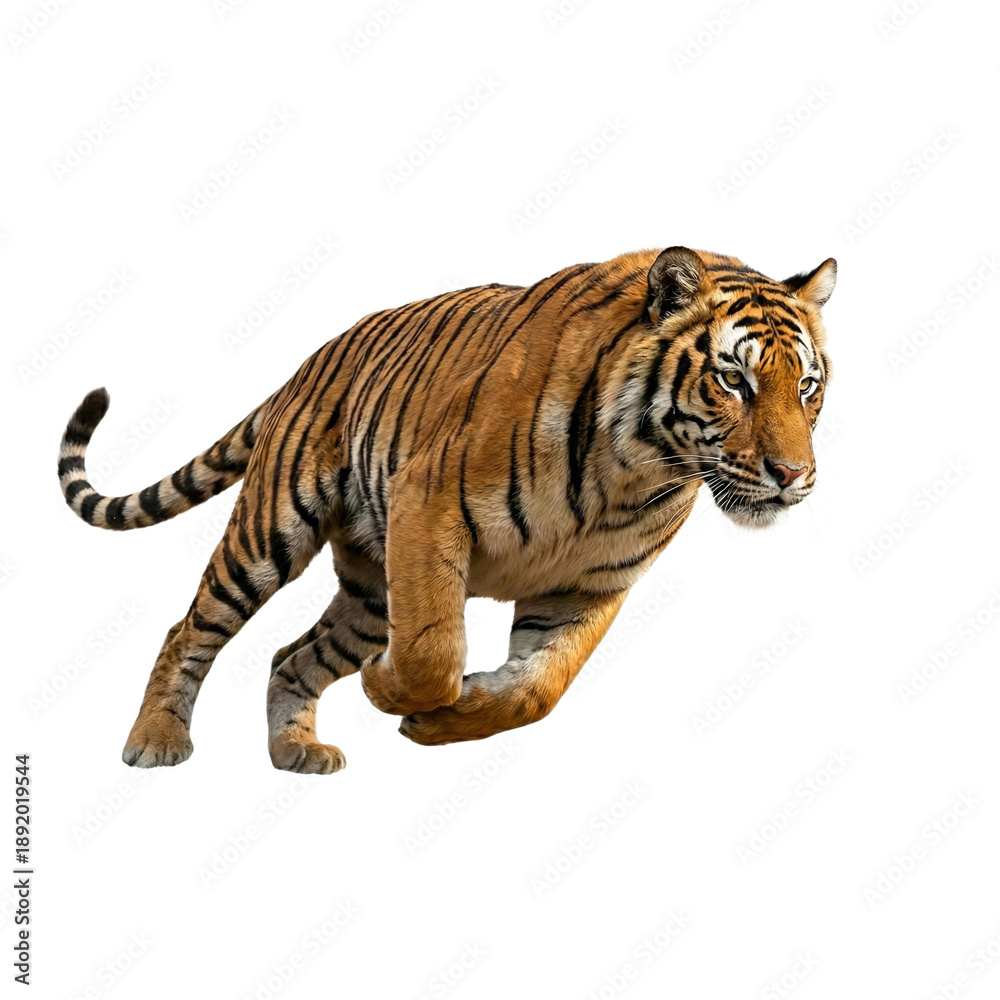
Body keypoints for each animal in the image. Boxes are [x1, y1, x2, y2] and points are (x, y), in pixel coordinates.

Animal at [57, 246, 835, 774]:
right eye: (733, 382)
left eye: (806, 386)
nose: (792, 475)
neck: (636, 471)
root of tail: (310, 361)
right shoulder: (429, 506)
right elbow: (432, 649)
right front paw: (391, 690)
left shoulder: (592, 584)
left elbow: (538, 690)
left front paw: (443, 720)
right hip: (272, 531)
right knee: (189, 628)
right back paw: (155, 741)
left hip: (371, 594)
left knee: (290, 654)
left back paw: (296, 751)